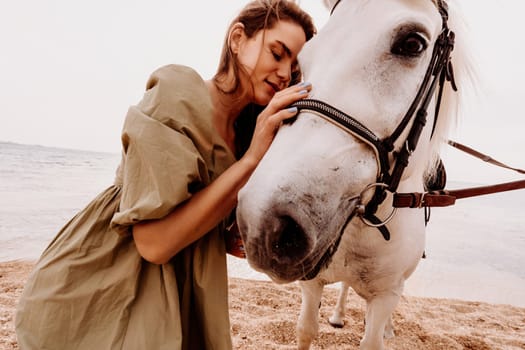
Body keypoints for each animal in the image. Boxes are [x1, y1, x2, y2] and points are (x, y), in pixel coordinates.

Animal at [236, 0, 470, 348]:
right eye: (302, 59)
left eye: (412, 44)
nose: (264, 226)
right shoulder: (311, 284)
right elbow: (306, 329)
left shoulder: (386, 295)